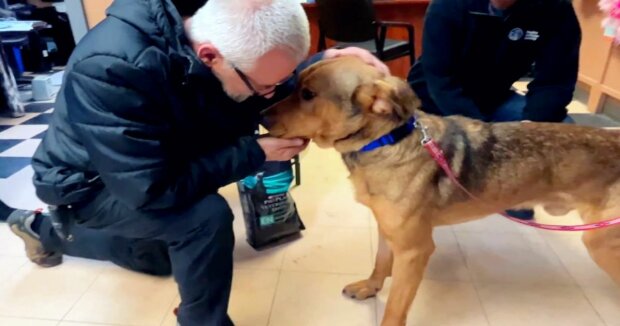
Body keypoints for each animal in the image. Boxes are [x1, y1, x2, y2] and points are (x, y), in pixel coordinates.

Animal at [264, 56, 620, 326]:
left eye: (307, 94)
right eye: (296, 86)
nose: (260, 115)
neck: (384, 140)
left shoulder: (415, 251)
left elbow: (395, 308)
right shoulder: (387, 229)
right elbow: (380, 263)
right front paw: (371, 287)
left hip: (601, 243)